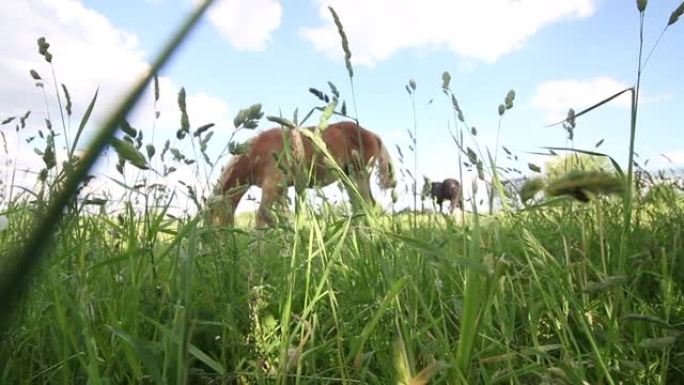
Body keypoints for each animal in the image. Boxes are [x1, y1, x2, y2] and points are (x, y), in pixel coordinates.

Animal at [208, 121, 398, 226]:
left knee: (367, 204)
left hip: (358, 175)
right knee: (360, 206)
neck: (257, 152)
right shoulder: (280, 190)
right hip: (348, 179)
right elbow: (283, 217)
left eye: (211, 215)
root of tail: (374, 135)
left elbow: (263, 215)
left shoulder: (272, 185)